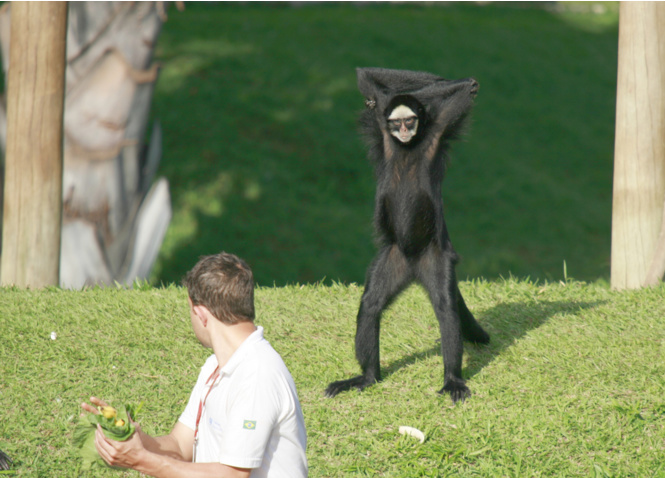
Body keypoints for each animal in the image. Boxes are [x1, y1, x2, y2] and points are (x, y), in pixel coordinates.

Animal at [326, 67, 488, 404]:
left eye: (410, 121)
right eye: (395, 123)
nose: (403, 131)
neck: (406, 147)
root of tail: (413, 265)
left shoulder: (440, 128)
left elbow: (469, 86)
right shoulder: (381, 127)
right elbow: (366, 77)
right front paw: (376, 99)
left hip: (434, 255)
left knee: (445, 306)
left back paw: (452, 379)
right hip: (394, 256)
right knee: (371, 304)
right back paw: (369, 377)